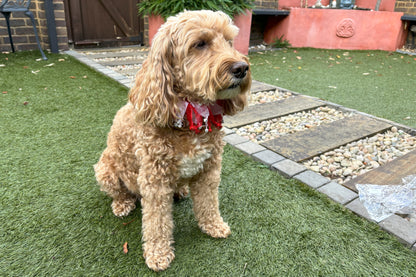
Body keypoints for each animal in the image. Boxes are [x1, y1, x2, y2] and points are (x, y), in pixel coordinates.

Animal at [94, 10, 250, 270]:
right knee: (120, 193)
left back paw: (181, 191)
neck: (190, 112)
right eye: (200, 44)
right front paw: (158, 253)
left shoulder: (209, 169)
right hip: (105, 170)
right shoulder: (154, 179)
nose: (242, 68)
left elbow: (209, 203)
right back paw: (122, 204)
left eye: (229, 41)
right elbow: (157, 222)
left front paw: (214, 225)